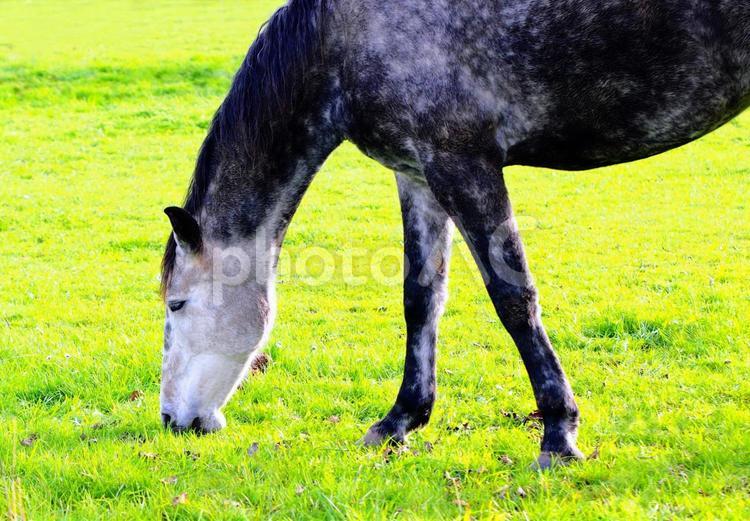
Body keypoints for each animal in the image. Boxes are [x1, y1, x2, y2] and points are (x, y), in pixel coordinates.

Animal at [159, 0, 750, 468]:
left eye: (177, 304)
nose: (171, 420)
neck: (341, 38)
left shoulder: (463, 164)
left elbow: (514, 298)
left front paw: (558, 435)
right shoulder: (419, 174)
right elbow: (421, 299)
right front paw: (400, 421)